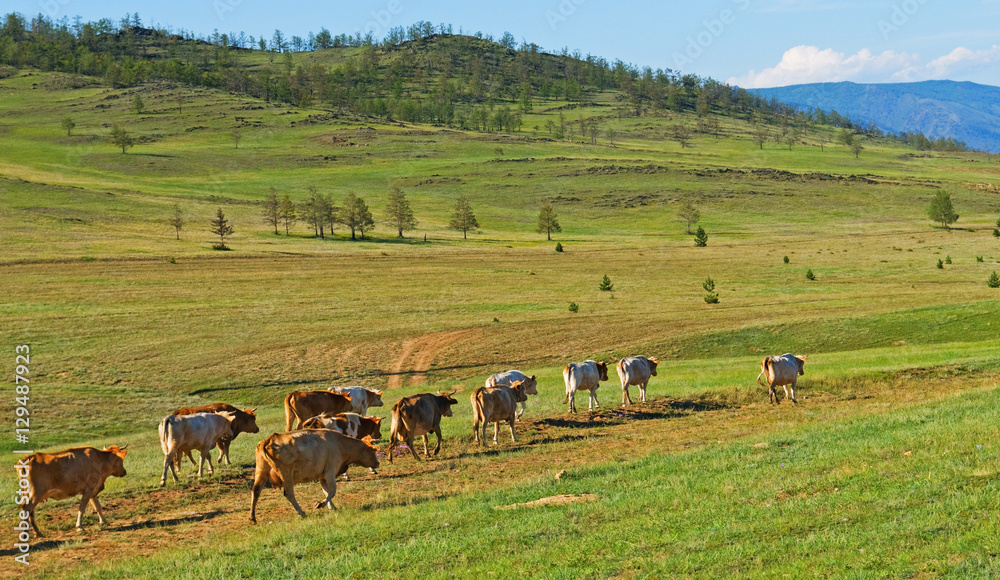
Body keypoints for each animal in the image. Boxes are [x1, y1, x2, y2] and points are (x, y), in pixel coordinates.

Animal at [249, 428, 378, 524]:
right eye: (372, 451)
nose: (378, 463)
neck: (339, 443)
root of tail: (268, 440)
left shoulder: (322, 476)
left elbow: (326, 491)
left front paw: (331, 506)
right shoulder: (330, 472)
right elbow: (332, 491)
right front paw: (320, 504)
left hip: (261, 471)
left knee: (256, 491)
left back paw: (252, 517)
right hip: (286, 474)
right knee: (289, 494)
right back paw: (301, 512)